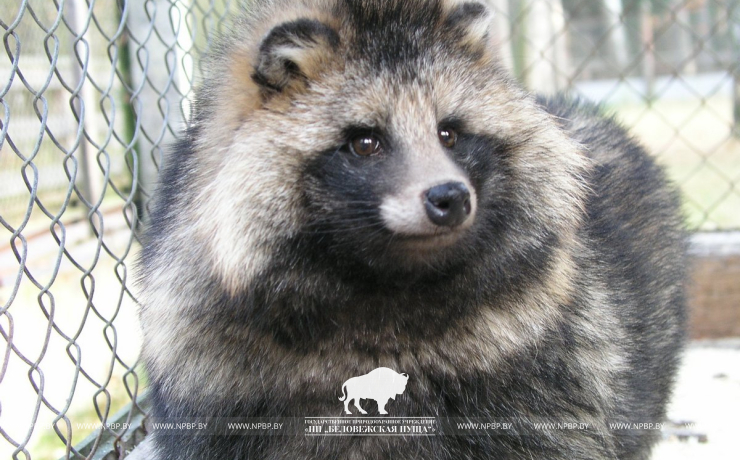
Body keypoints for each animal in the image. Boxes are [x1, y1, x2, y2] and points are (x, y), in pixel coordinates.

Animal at [136, 0, 684, 460]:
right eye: (365, 142)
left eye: (449, 133)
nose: (450, 198)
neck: (387, 290)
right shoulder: (219, 387)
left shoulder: (542, 378)